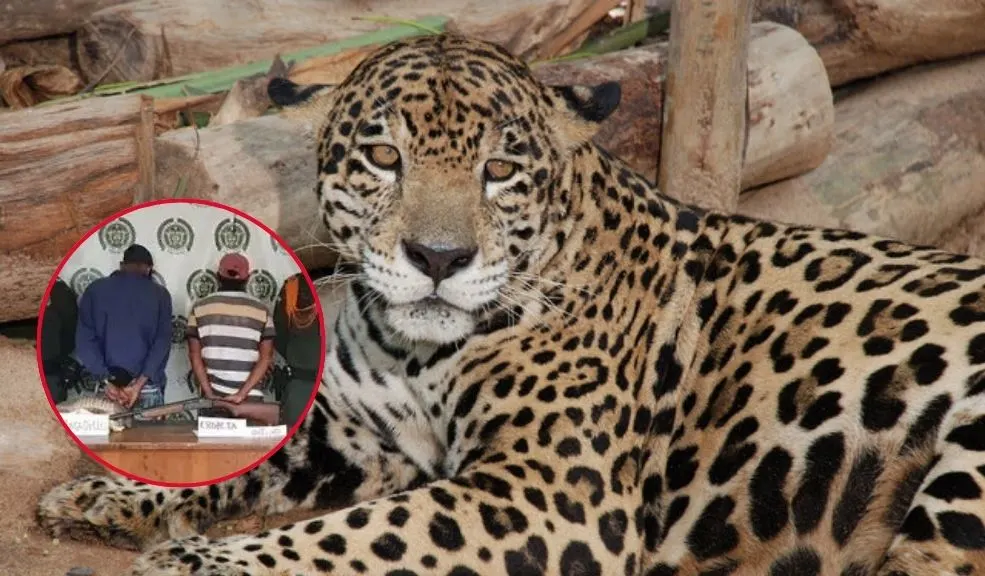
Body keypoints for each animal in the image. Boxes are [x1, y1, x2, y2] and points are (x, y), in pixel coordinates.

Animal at [37, 33, 985, 576]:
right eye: (383, 157)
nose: (438, 258)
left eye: (499, 170)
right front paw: (100, 496)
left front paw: (197, 560)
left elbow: (357, 535)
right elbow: (250, 453)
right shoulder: (363, 436)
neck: (416, 351)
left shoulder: (550, 490)